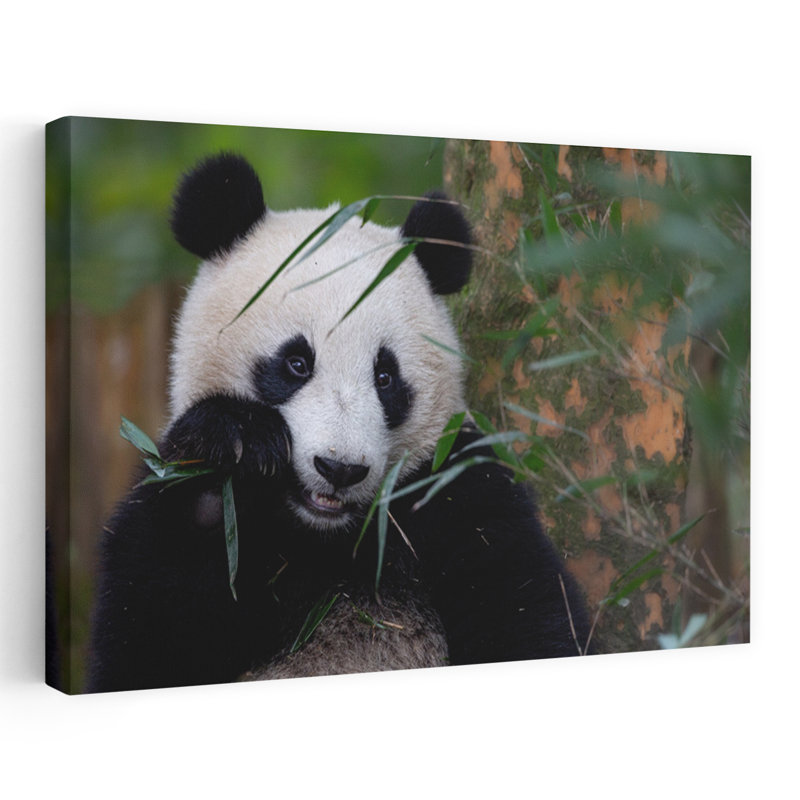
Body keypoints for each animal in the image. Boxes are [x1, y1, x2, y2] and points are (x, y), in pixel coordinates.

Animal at [88, 153, 591, 692]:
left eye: (385, 377)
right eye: (296, 363)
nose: (340, 468)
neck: (325, 532)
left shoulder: (454, 491)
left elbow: (527, 609)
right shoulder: (168, 509)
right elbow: (149, 634)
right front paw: (236, 443)